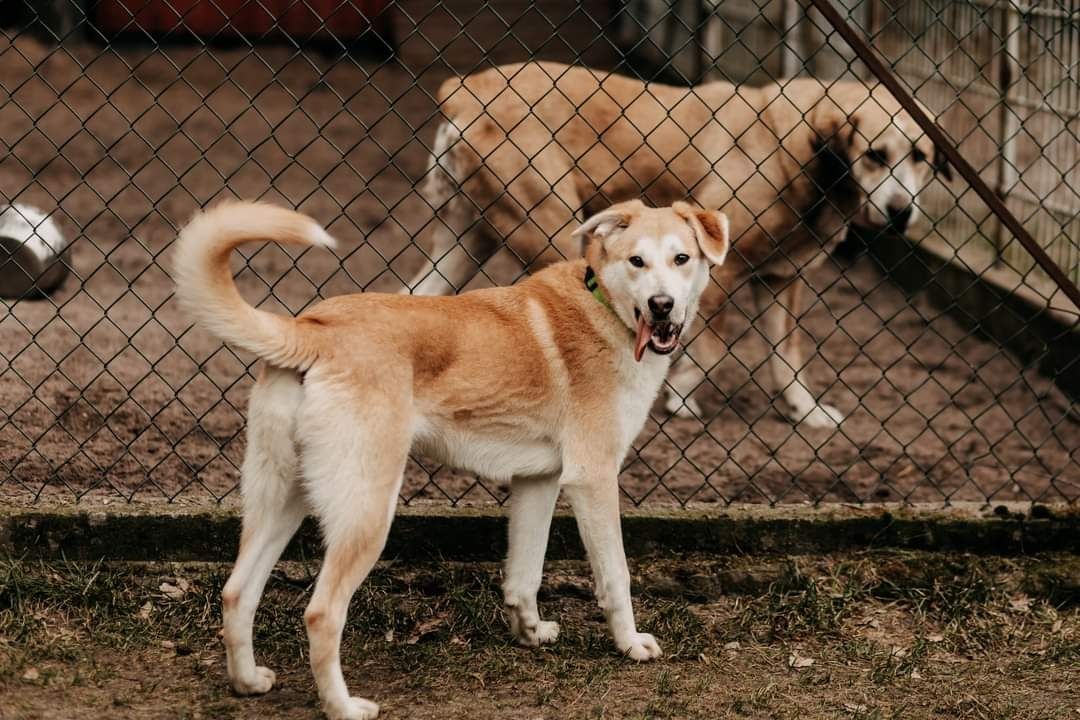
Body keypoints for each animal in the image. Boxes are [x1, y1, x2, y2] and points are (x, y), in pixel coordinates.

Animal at [174, 198, 734, 720]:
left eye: (681, 258)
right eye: (637, 261)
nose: (662, 306)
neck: (606, 308)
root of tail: (313, 327)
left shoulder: (538, 481)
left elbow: (524, 575)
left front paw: (530, 633)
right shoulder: (592, 479)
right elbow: (616, 576)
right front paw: (631, 645)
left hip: (283, 499)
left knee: (237, 592)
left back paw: (247, 682)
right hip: (367, 512)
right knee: (322, 613)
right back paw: (344, 706)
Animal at [406, 63, 954, 427]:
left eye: (921, 157)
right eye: (875, 155)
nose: (901, 213)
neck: (799, 150)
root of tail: (466, 89)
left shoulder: (781, 281)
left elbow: (787, 358)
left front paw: (805, 410)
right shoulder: (718, 274)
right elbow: (714, 349)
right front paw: (684, 395)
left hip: (464, 243)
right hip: (552, 232)